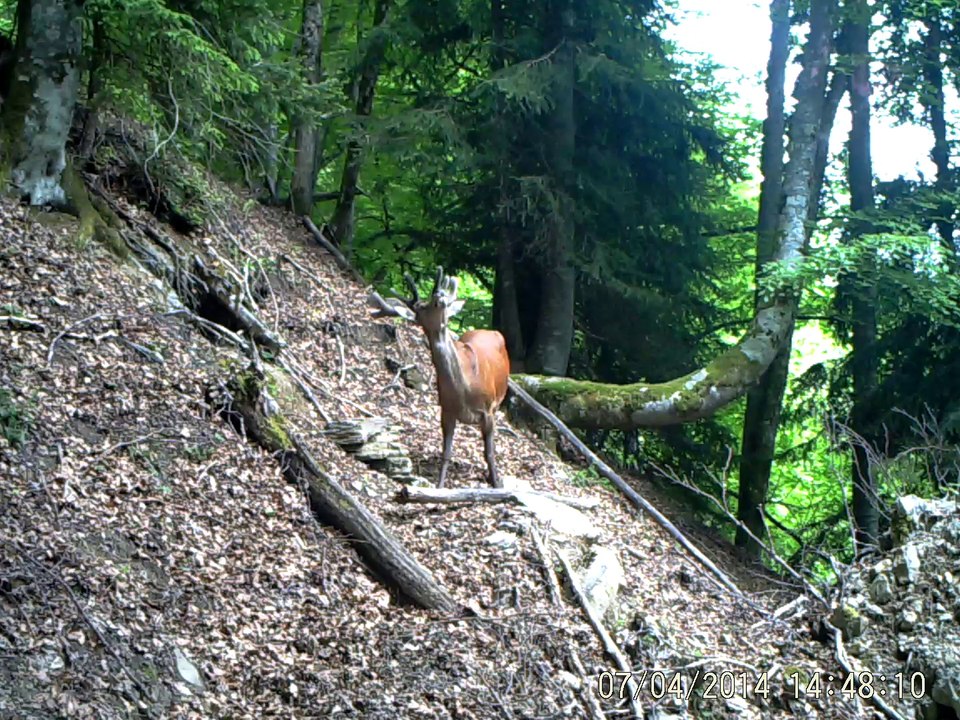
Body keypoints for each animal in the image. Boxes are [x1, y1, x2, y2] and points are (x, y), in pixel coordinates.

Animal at [368, 267, 510, 488]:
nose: (439, 295)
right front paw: (439, 486)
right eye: (421, 309)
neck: (464, 390)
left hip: (498, 400)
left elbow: (489, 453)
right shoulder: (446, 411)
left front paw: (496, 484)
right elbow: (446, 454)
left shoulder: (488, 410)